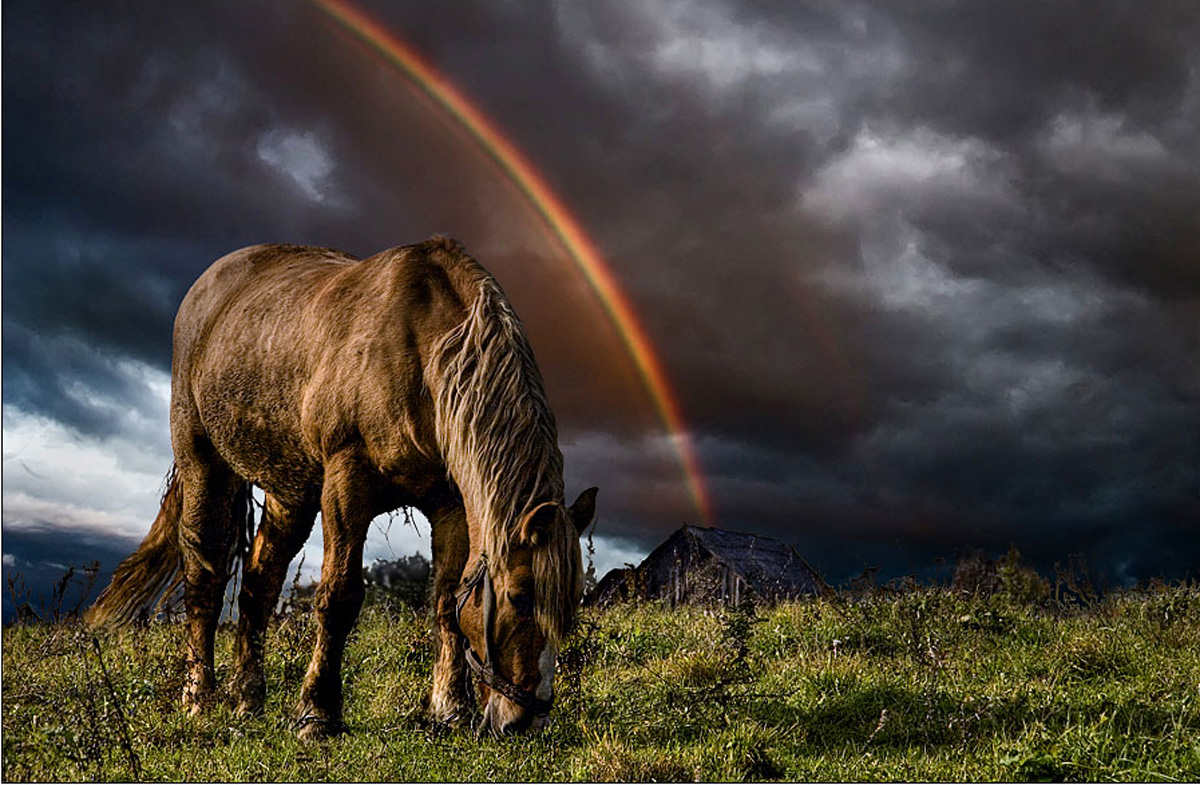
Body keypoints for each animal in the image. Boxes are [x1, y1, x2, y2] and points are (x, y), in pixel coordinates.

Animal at [87, 238, 600, 739]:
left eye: (571, 604)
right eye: (519, 596)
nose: (526, 720)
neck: (425, 355)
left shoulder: (450, 504)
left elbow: (446, 601)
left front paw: (450, 709)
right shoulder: (347, 480)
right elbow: (339, 597)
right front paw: (317, 713)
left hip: (289, 495)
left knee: (257, 586)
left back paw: (248, 699)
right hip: (205, 466)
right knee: (205, 583)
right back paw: (200, 698)